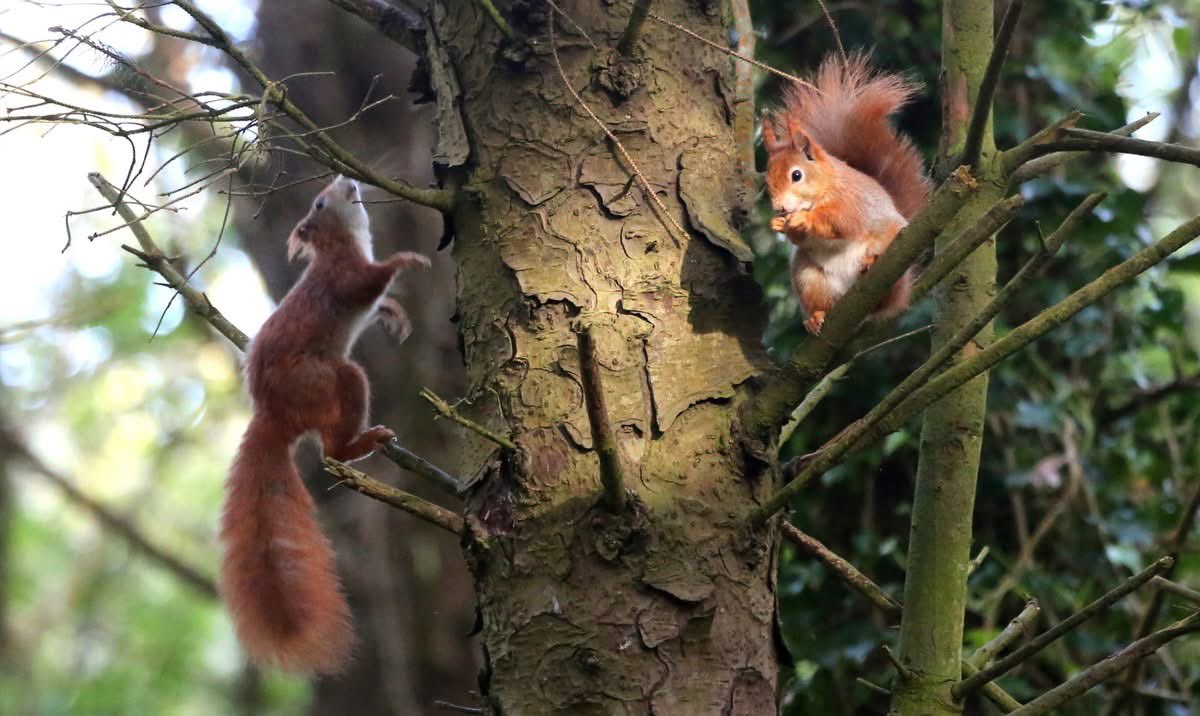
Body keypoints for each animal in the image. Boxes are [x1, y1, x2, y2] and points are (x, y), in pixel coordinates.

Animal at [220, 175, 429, 674]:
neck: (348, 241)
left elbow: (378, 303)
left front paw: (393, 313)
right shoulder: (343, 276)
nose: (347, 178)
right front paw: (405, 261)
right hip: (331, 378)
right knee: (332, 447)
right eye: (319, 202)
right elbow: (367, 281)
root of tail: (274, 415)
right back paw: (362, 443)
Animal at [763, 53, 930, 335]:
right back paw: (816, 318)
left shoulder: (852, 201)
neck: (825, 187)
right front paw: (778, 224)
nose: (780, 208)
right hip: (809, 278)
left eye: (796, 175)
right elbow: (800, 239)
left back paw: (870, 264)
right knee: (822, 302)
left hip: (893, 263)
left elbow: (841, 221)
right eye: (767, 180)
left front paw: (804, 220)